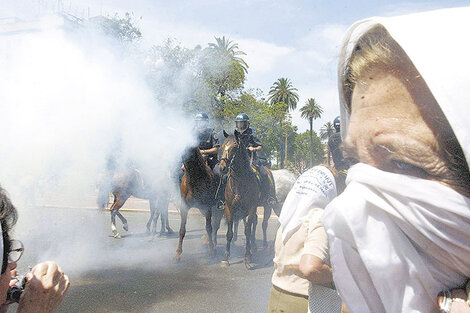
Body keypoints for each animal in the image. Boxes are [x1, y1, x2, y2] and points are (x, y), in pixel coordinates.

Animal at [218, 130, 262, 266]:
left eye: (234, 147)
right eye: (222, 147)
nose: (222, 168)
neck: (240, 181)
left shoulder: (251, 208)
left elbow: (247, 231)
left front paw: (247, 257)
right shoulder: (229, 208)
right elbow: (229, 233)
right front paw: (225, 257)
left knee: (252, 224)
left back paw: (253, 247)